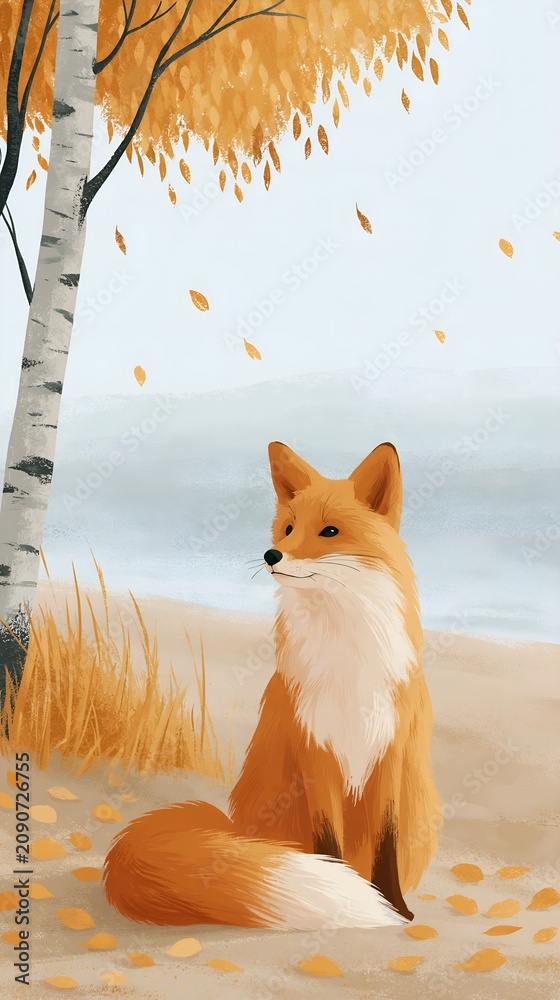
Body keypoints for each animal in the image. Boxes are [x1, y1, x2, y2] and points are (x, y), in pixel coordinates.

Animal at [104, 441, 440, 929]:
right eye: (287, 529)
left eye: (330, 531)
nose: (271, 555)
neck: (345, 656)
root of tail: (232, 829)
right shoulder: (315, 750)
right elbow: (328, 841)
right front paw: (349, 894)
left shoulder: (389, 751)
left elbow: (386, 844)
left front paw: (395, 906)